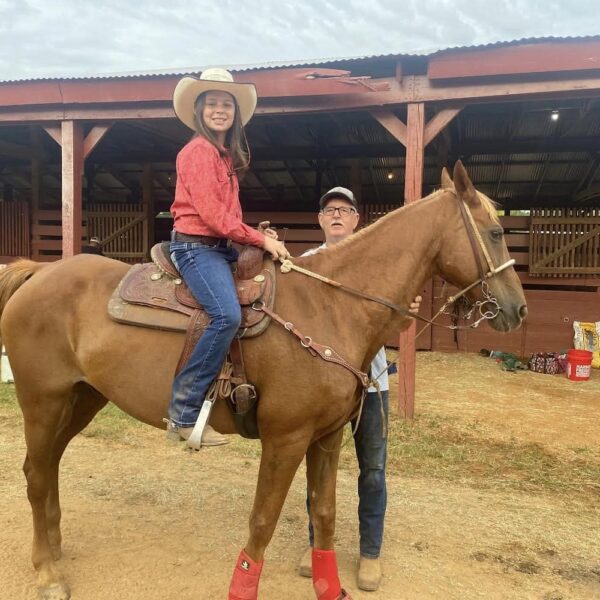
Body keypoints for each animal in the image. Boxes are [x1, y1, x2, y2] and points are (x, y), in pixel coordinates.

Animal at [0, 162, 524, 596]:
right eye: (497, 231)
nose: (518, 309)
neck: (331, 306)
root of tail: (37, 272)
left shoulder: (327, 437)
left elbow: (324, 514)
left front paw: (329, 586)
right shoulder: (285, 439)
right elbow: (263, 521)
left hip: (83, 399)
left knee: (47, 468)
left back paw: (52, 551)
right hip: (43, 401)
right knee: (36, 474)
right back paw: (48, 574)